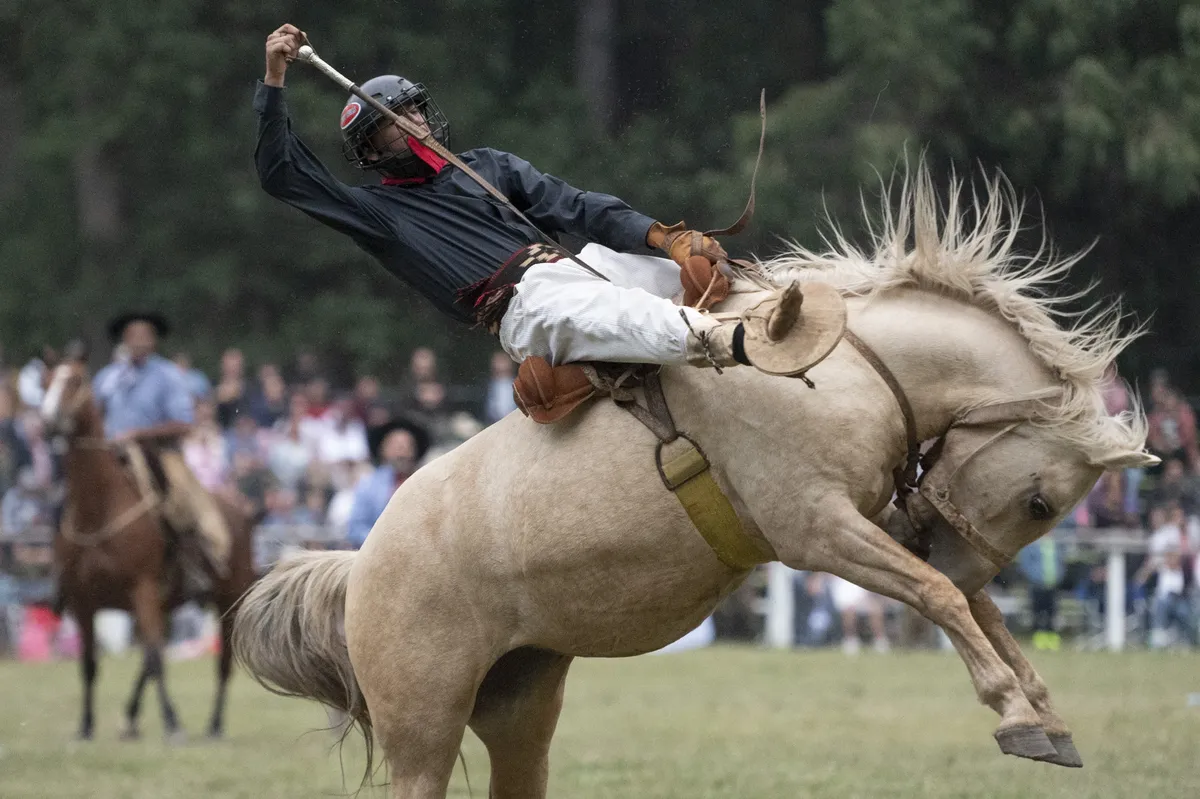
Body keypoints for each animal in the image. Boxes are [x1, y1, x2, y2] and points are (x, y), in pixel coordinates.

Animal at [39, 351, 257, 741]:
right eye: (45, 382)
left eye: (75, 380)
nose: (49, 422)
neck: (98, 511)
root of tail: (240, 509)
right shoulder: (83, 600)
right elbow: (90, 663)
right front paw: (85, 725)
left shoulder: (142, 588)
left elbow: (156, 659)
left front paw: (172, 723)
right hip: (166, 602)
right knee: (146, 660)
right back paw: (130, 719)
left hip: (228, 598)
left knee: (221, 664)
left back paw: (214, 725)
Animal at [234, 167, 1156, 798]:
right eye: (1040, 501)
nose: (964, 553)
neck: (845, 365)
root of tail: (362, 561)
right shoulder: (820, 531)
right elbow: (939, 595)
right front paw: (1015, 712)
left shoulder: (882, 522)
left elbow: (977, 608)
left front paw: (1046, 713)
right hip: (421, 724)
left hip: (520, 699)